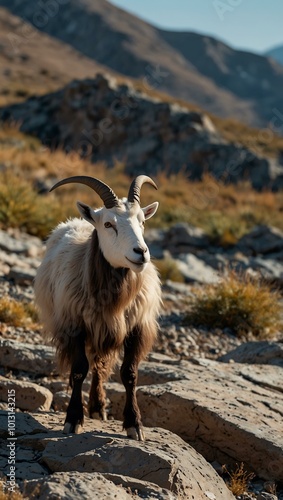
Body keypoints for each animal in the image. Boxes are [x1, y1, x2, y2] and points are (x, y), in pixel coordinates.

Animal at [33, 174, 162, 440]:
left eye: (142, 222)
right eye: (108, 224)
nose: (141, 252)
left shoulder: (136, 327)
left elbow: (129, 374)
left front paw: (134, 424)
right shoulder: (75, 325)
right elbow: (79, 369)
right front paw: (73, 419)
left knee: (100, 367)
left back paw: (97, 406)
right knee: (89, 365)